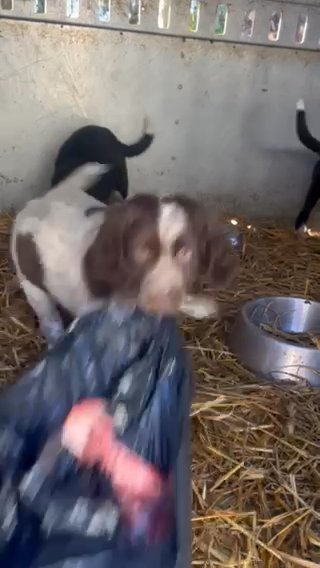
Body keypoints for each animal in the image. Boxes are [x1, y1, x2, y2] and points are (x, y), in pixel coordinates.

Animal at [11, 162, 239, 344]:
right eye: (141, 251)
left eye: (185, 252)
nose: (161, 302)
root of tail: (43, 198)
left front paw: (204, 307)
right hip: (31, 284)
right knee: (48, 318)